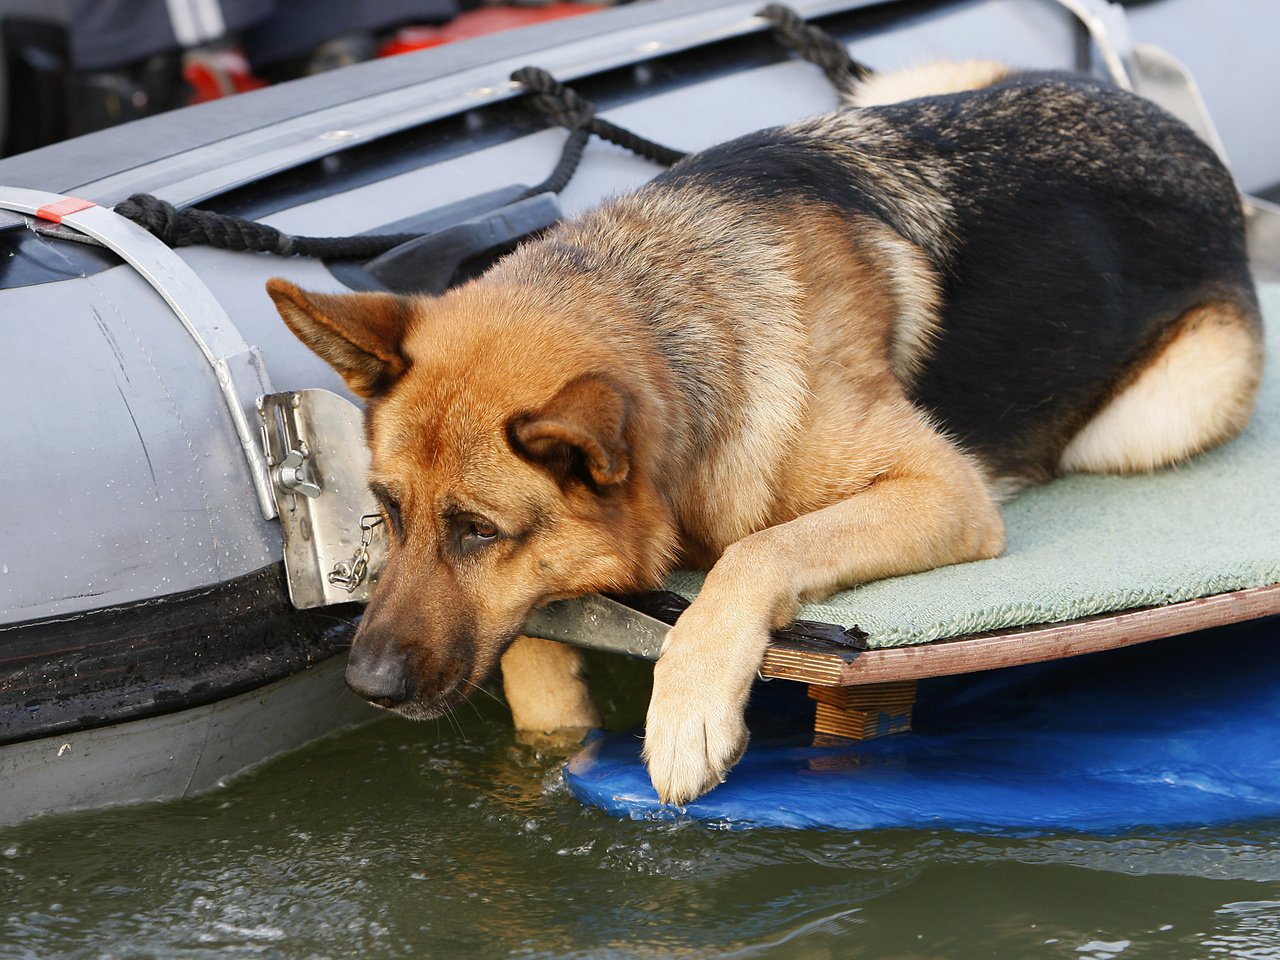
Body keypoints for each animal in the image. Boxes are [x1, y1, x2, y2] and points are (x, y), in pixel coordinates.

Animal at [267, 64, 1259, 808]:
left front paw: (685, 710)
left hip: (1157, 414)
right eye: (389, 511)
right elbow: (529, 646)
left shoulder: (943, 490)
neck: (671, 312)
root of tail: (1178, 133)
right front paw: (556, 725)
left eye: (478, 531)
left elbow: (757, 552)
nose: (366, 686)